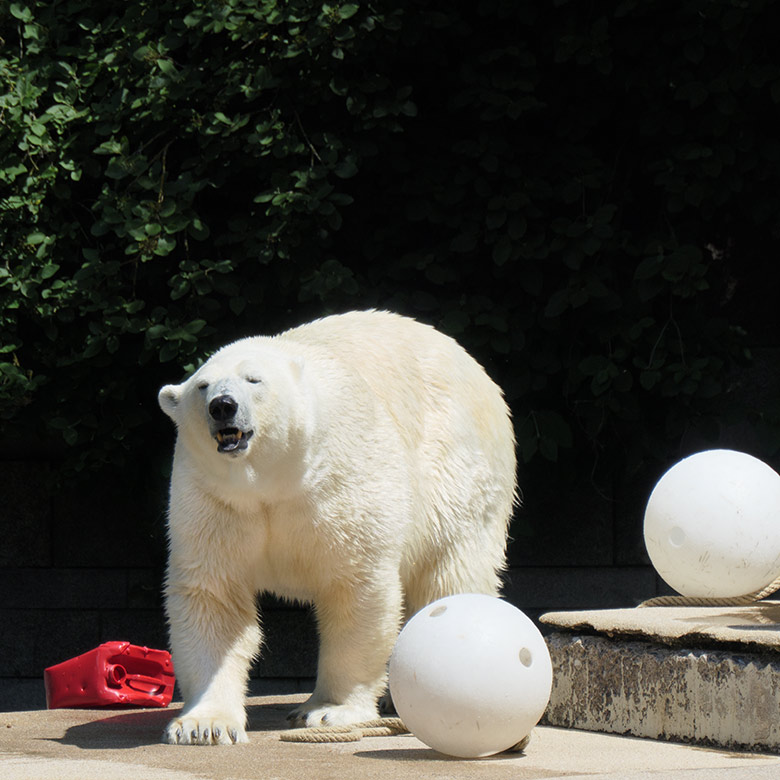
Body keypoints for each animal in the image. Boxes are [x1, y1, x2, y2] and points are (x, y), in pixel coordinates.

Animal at [155, 310, 516, 744]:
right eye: (203, 385)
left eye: (253, 380)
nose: (222, 406)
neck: (270, 483)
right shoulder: (216, 502)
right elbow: (213, 595)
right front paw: (203, 725)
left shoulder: (340, 485)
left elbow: (354, 589)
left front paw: (328, 710)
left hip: (458, 474)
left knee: (447, 574)